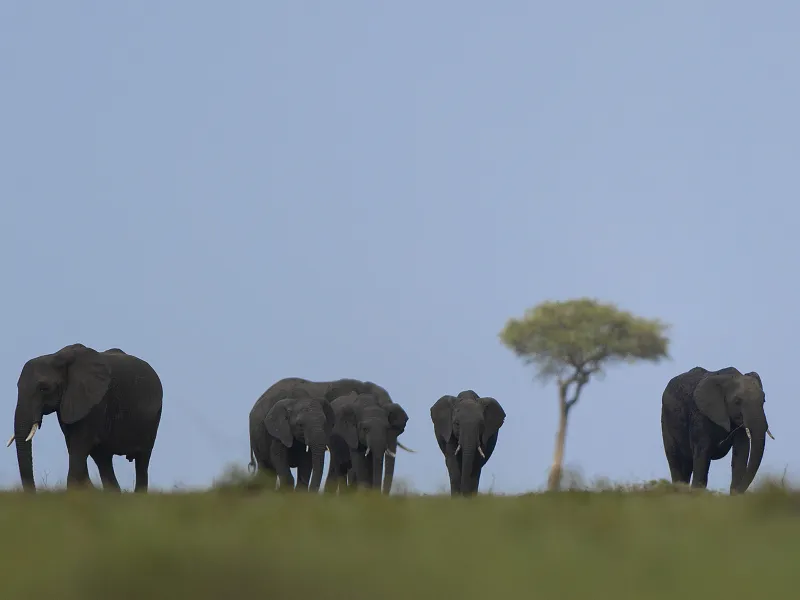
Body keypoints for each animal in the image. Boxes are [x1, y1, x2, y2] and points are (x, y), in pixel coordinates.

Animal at [8, 343, 163, 493]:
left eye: (44, 388)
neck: (58, 357)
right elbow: (73, 445)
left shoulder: (95, 402)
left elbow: (80, 444)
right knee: (103, 459)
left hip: (153, 419)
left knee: (142, 460)